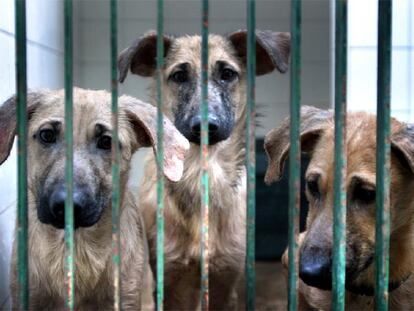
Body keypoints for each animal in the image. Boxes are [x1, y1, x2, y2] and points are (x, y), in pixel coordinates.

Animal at [117, 30, 292, 310]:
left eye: (228, 74)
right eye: (179, 76)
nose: (205, 125)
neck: (200, 174)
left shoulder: (225, 278)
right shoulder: (170, 277)